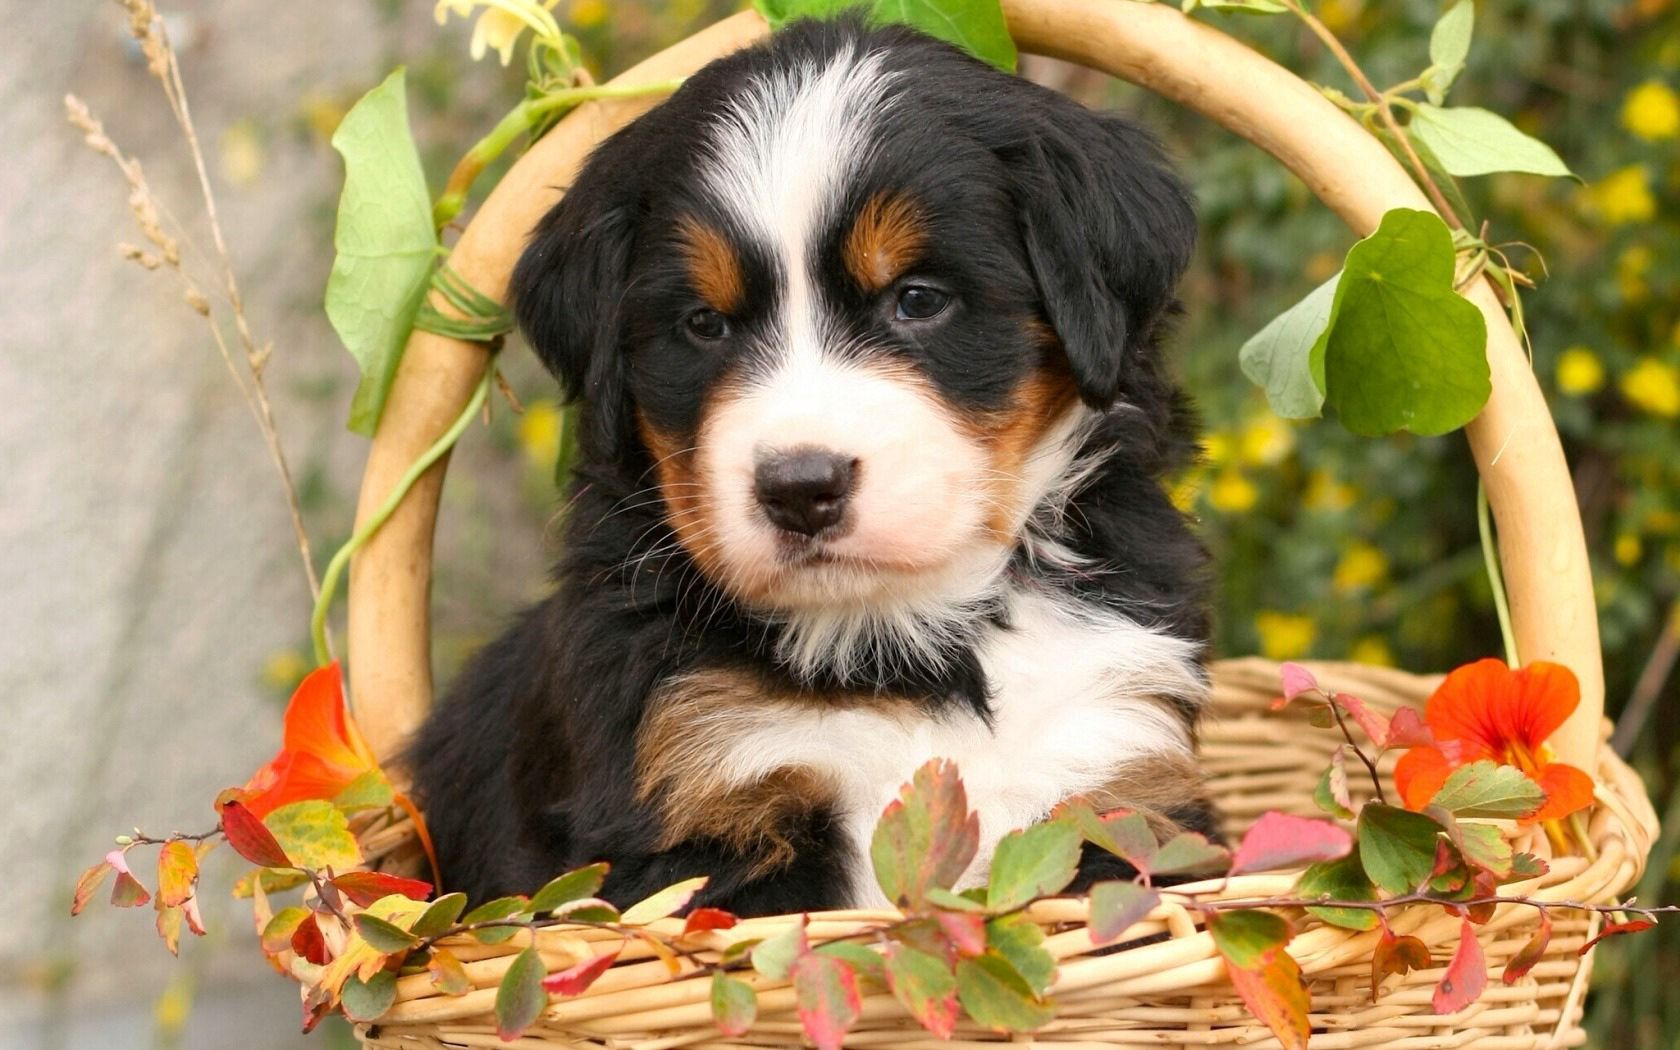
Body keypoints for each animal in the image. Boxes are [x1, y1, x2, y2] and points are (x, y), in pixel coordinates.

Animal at [413, 12, 1216, 913]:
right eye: (703, 323)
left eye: (918, 299)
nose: (800, 488)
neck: (904, 634)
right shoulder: (704, 795)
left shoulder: (1117, 770)